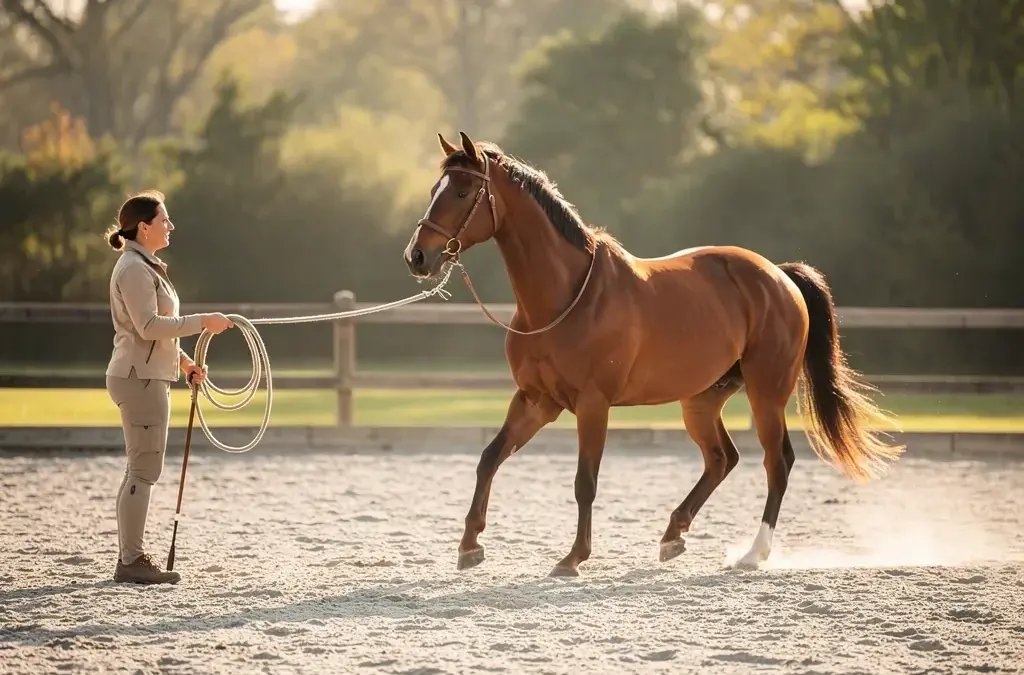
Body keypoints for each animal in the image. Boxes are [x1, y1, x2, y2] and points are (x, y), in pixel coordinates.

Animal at [403, 131, 904, 577]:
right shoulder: (536, 401)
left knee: (775, 463)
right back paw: (673, 535)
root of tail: (780, 277)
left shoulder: (593, 405)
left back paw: (752, 554)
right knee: (722, 459)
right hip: (701, 400)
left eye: (463, 191)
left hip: (766, 396)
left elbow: (585, 482)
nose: (418, 257)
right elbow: (489, 457)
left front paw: (573, 559)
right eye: (433, 190)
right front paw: (470, 546)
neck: (566, 297)